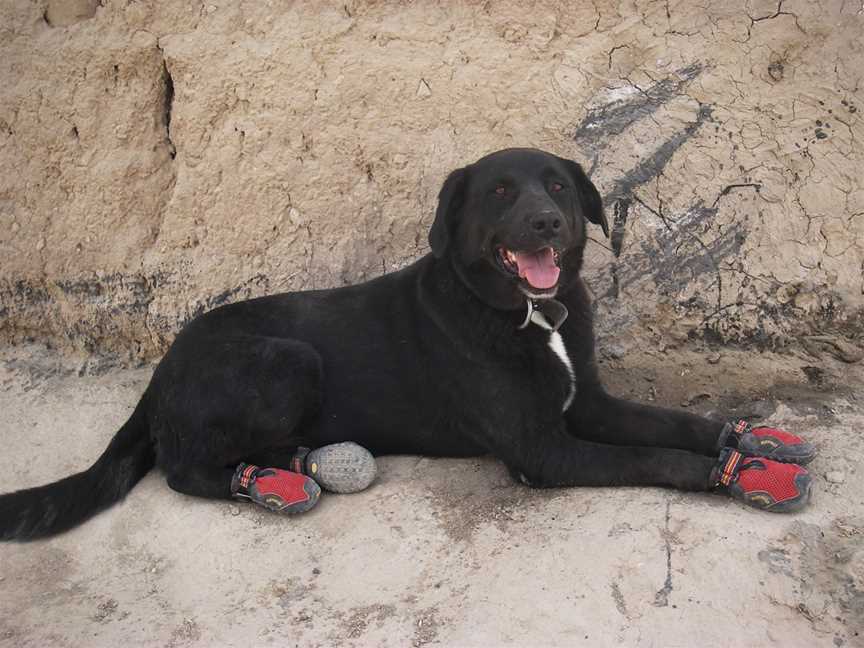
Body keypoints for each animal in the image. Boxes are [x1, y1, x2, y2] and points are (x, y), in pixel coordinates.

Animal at [0, 149, 812, 540]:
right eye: (500, 193)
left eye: (556, 185)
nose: (549, 222)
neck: (528, 318)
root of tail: (162, 368)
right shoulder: (544, 452)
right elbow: (654, 457)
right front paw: (728, 475)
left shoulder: (589, 406)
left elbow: (680, 423)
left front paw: (749, 442)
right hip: (288, 360)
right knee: (182, 470)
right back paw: (264, 483)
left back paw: (298, 461)